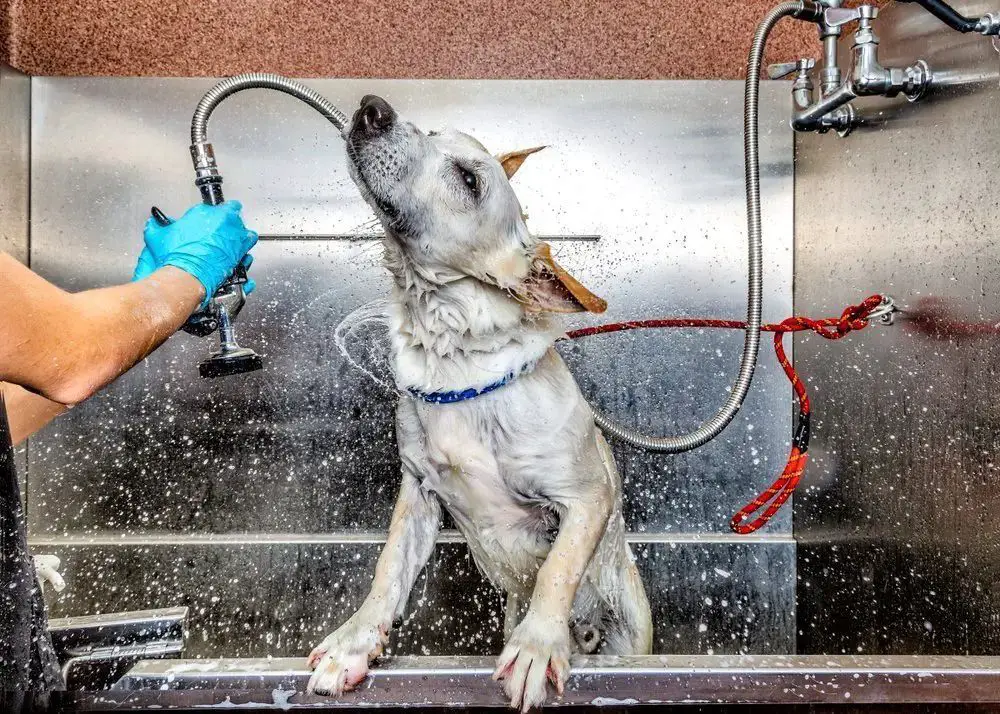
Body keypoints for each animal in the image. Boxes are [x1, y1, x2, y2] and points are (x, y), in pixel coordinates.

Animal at [312, 96, 656, 712]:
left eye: (469, 180)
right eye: (430, 131)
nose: (373, 107)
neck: (454, 362)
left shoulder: (585, 498)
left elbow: (558, 569)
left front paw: (539, 645)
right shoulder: (418, 495)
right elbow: (387, 569)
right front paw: (353, 642)